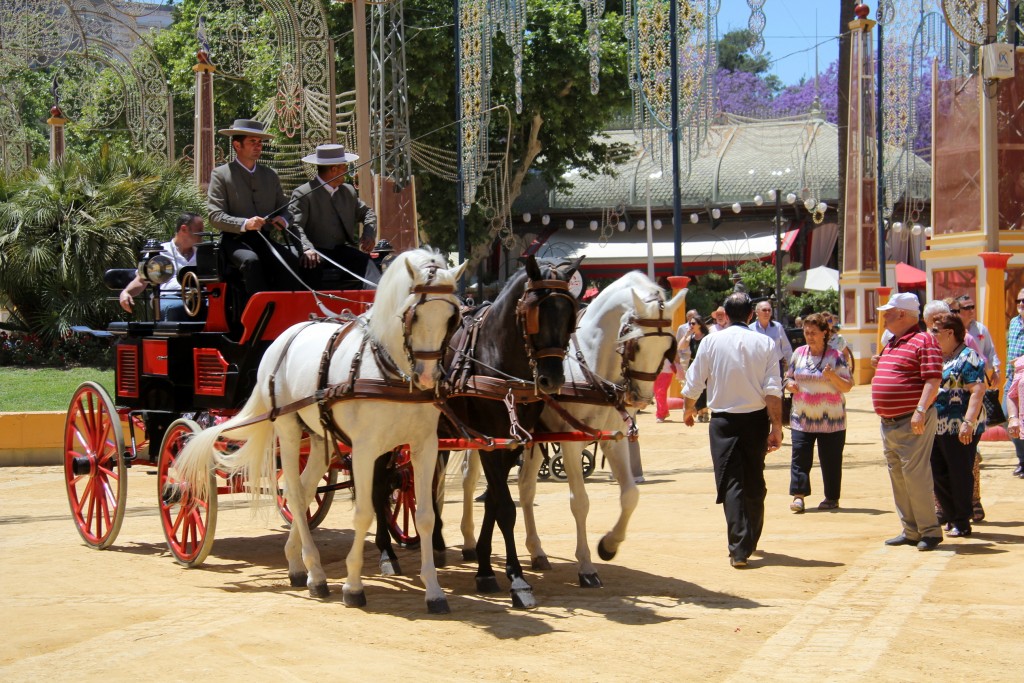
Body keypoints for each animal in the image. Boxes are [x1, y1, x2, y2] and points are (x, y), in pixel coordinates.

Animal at [173, 249, 468, 614]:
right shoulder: (366, 449)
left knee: (304, 487)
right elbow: (364, 513)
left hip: (315, 438)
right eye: (412, 315)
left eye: (452, 318)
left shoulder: (424, 445)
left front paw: (434, 591)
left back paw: (300, 565)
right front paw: (353, 587)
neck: (389, 370)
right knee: (295, 494)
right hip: (287, 430)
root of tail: (286, 336)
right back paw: (315, 575)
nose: (428, 377)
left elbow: (426, 515)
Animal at [460, 272, 684, 589]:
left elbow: (630, 495)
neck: (591, 364)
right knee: (469, 480)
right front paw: (586, 566)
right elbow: (580, 502)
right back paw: (469, 541)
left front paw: (609, 545)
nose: (640, 398)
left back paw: (537, 551)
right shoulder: (571, 442)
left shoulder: (613, 440)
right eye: (635, 344)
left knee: (525, 487)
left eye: (667, 348)